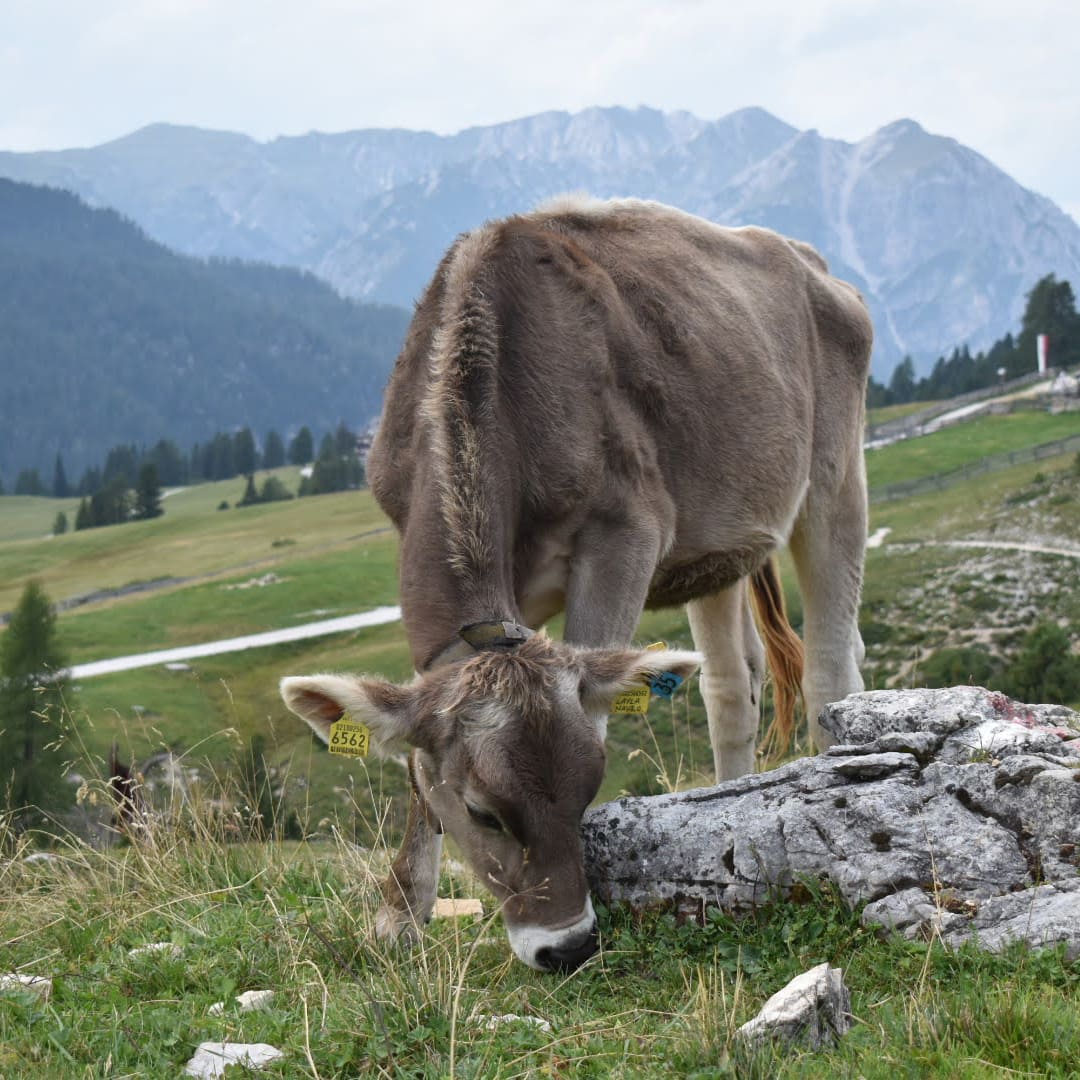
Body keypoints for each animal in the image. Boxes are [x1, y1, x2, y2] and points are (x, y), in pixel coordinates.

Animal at [278, 198, 868, 976]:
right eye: (483, 812)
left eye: (591, 792)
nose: (568, 945)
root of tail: (810, 261)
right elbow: (411, 765)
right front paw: (400, 914)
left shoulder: (625, 533)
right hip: (722, 546)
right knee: (732, 688)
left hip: (836, 477)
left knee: (831, 662)